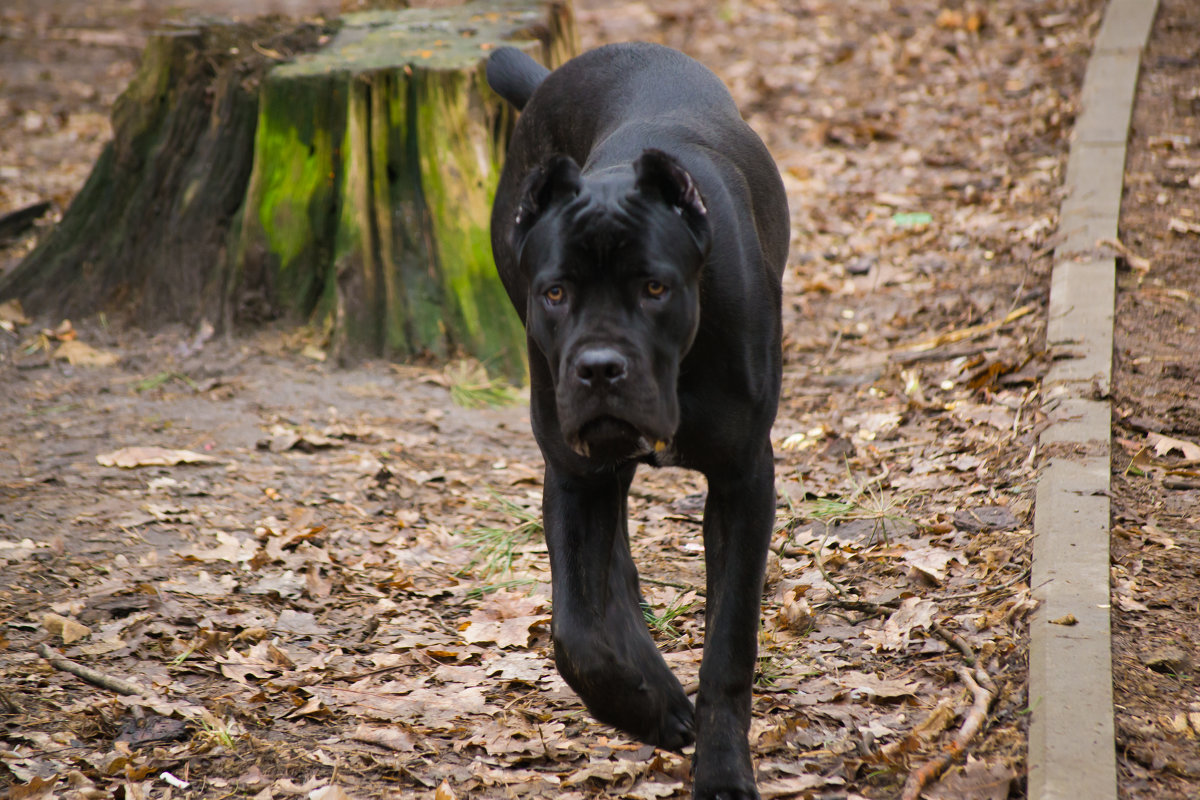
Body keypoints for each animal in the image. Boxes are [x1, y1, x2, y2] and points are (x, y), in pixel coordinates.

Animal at [487, 43, 787, 800]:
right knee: (610, 567)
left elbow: (729, 643)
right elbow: (577, 633)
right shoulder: (573, 473)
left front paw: (722, 770)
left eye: (655, 287)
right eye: (555, 293)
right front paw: (649, 706)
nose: (599, 368)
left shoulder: (743, 480)